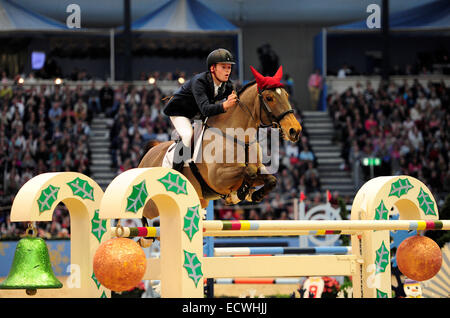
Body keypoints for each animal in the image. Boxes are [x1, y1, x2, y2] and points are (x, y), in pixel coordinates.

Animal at [139, 68, 300, 220]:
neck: (240, 138)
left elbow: (270, 179)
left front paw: (252, 194)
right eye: (269, 98)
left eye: (286, 95)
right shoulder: (217, 177)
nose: (295, 130)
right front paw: (240, 193)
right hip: (152, 206)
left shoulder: (257, 169)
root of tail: (149, 153)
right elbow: (249, 171)